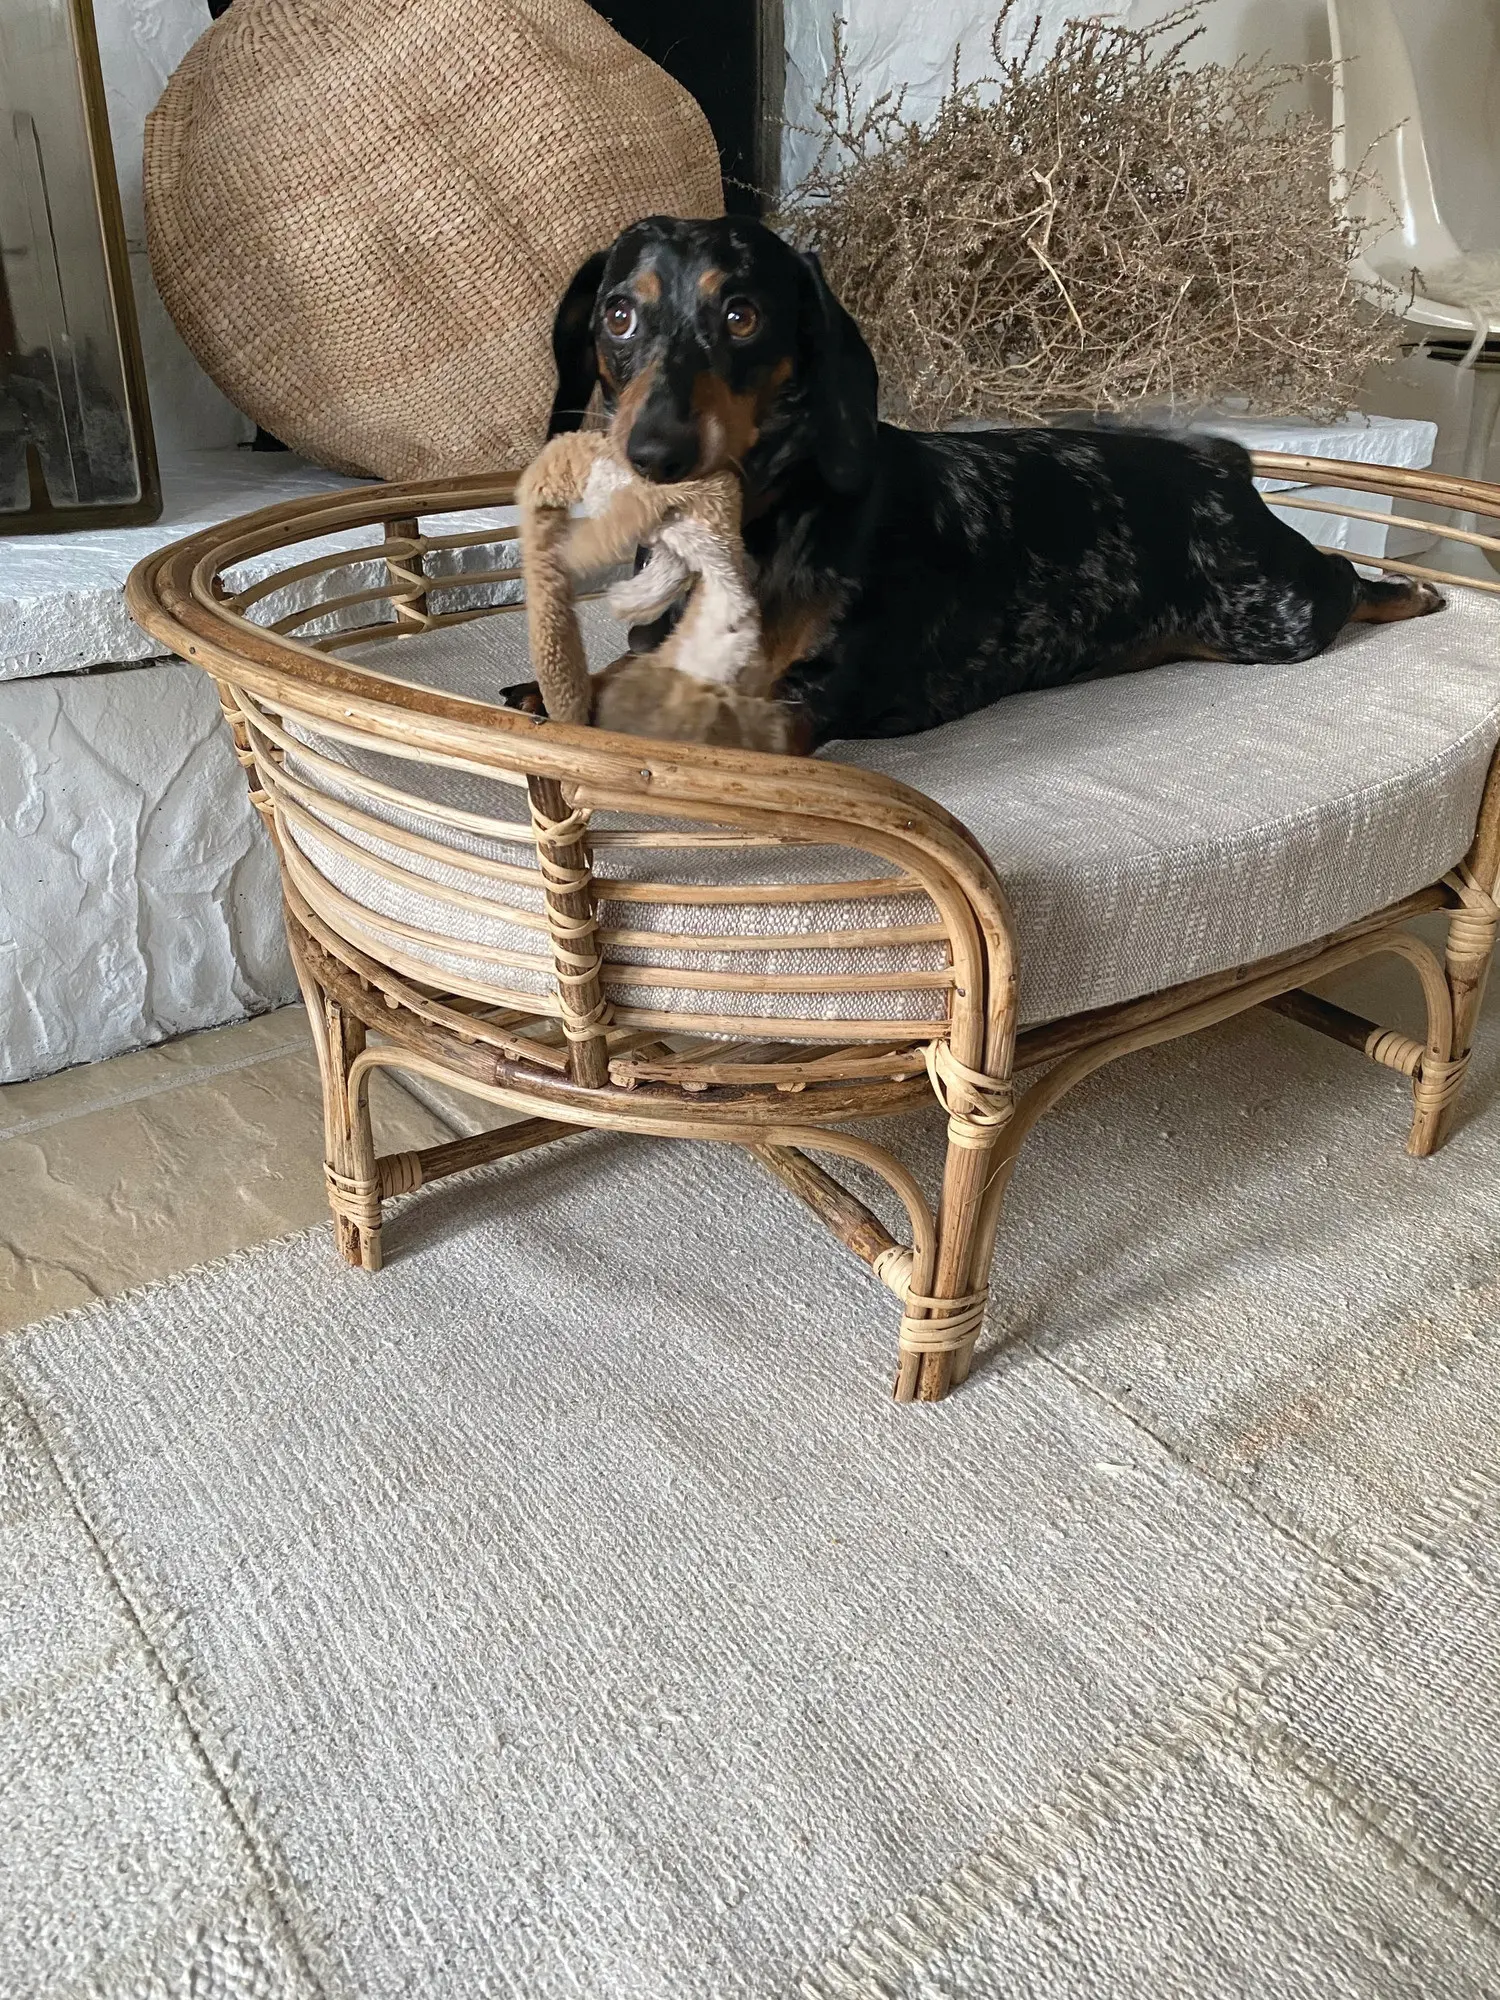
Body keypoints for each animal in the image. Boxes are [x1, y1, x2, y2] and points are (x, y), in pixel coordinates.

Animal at [548, 217, 1440, 752]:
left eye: (741, 315)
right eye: (618, 315)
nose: (654, 451)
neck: (768, 522)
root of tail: (1222, 461)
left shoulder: (808, 699)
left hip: (1273, 617)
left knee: (1343, 575)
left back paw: (1412, 591)